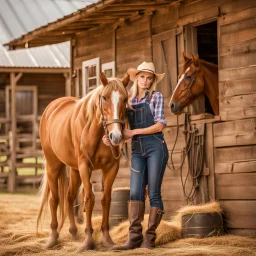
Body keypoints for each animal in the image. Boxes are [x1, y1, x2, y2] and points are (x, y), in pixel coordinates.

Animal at [36, 72, 130, 252]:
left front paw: (106, 239)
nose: (116, 137)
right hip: (54, 165)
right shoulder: (85, 166)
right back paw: (53, 239)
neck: (96, 132)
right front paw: (88, 241)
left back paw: (73, 232)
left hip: (74, 170)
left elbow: (105, 199)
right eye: (104, 97)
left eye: (125, 99)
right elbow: (89, 199)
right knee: (54, 199)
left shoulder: (111, 168)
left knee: (69, 196)